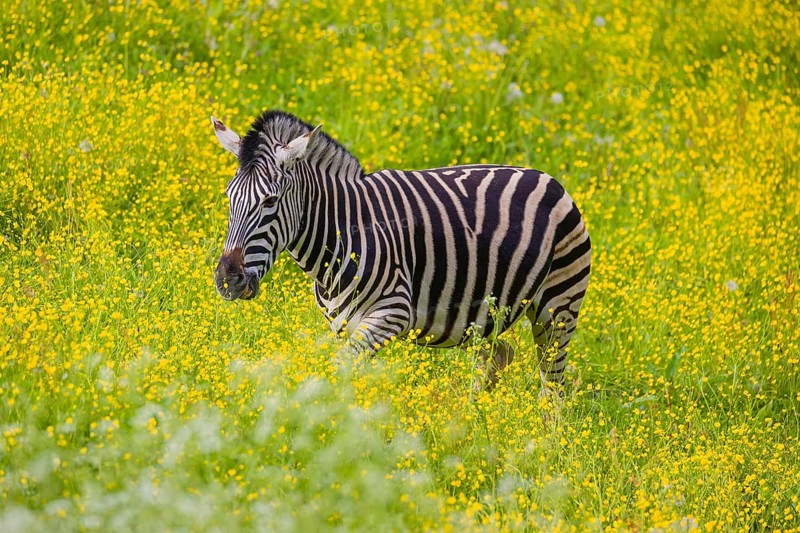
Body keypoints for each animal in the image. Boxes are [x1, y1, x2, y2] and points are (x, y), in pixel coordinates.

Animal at [211, 110, 591, 390]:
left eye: (270, 201)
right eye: (229, 196)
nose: (227, 279)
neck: (341, 233)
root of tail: (549, 178)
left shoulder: (391, 313)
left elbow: (340, 372)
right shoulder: (344, 326)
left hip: (558, 307)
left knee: (552, 383)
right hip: (481, 318)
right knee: (500, 354)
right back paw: (473, 419)